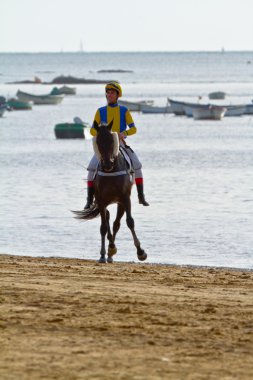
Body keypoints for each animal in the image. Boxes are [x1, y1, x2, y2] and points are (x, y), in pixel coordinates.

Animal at [73, 120, 147, 262]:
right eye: (98, 142)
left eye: (112, 141)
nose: (107, 163)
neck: (111, 171)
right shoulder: (101, 200)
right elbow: (103, 227)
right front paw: (103, 254)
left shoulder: (125, 199)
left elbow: (129, 222)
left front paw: (140, 252)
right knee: (107, 219)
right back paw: (109, 250)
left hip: (119, 202)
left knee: (115, 223)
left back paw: (111, 250)